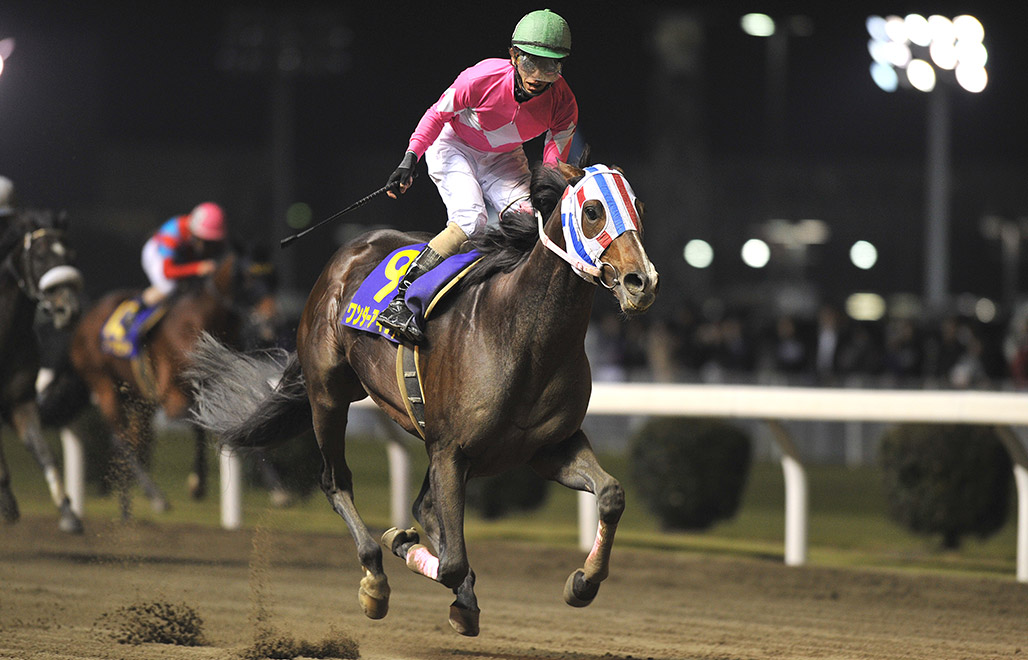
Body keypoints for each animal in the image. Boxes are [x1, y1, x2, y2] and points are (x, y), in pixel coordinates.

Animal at [0, 208, 85, 533]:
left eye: (71, 254)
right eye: (38, 256)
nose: (67, 310)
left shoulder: (20, 401)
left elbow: (45, 453)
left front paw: (69, 513)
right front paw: (7, 505)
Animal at [189, 159, 658, 636]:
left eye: (639, 205)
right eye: (593, 210)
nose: (642, 282)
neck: (522, 337)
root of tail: (347, 252)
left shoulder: (549, 447)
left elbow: (611, 495)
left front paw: (584, 581)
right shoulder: (450, 449)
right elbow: (451, 562)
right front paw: (399, 542)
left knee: (425, 505)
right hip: (328, 395)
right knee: (337, 481)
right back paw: (376, 578)